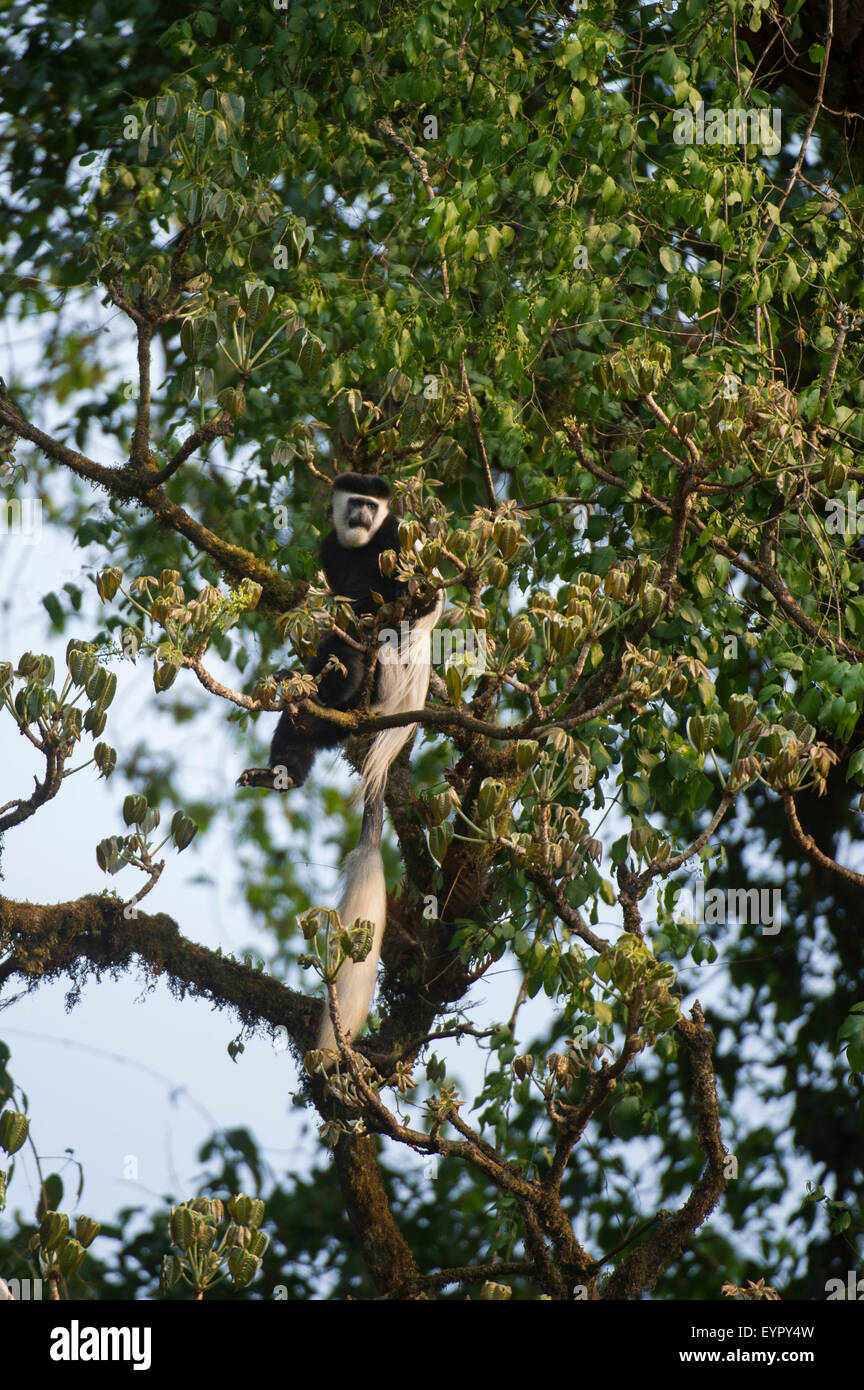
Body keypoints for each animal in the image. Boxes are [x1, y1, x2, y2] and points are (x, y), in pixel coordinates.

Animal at [238, 472, 444, 1045]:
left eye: (373, 506)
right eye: (353, 502)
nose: (361, 516)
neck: (360, 546)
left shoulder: (397, 540)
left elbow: (410, 599)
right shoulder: (332, 548)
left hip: (386, 675)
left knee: (361, 633)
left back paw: (335, 678)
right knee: (302, 723)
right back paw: (281, 769)